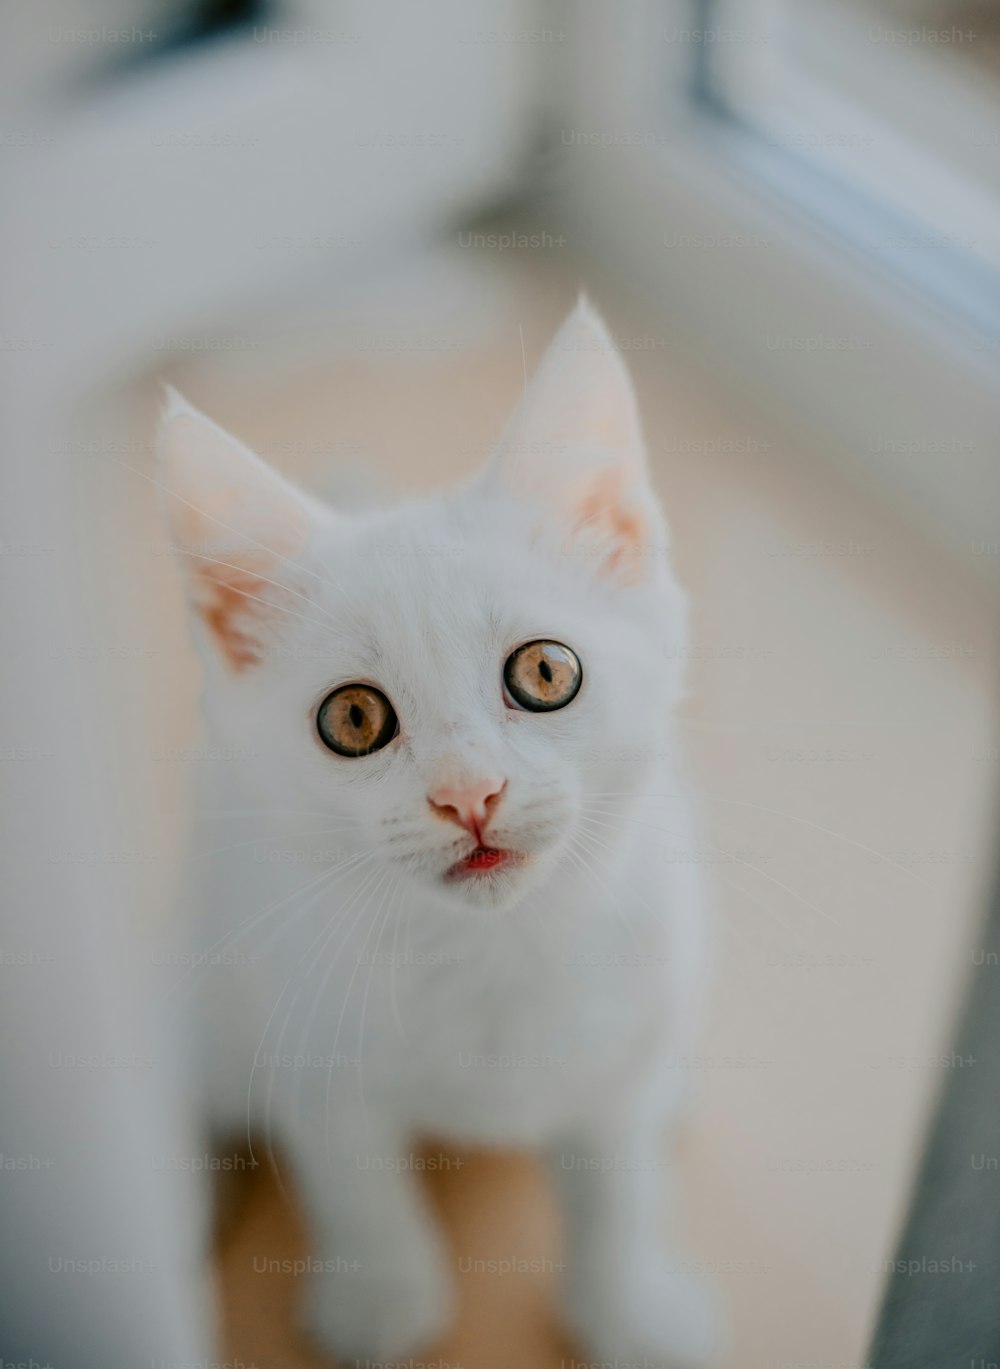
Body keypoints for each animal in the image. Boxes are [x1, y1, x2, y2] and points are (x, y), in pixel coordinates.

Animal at [159, 299, 712, 1369]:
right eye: (354, 719)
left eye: (545, 672)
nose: (469, 794)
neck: (490, 953)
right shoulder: (309, 1039)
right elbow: (356, 1179)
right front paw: (382, 1298)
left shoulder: (623, 1036)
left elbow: (617, 1189)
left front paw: (628, 1310)